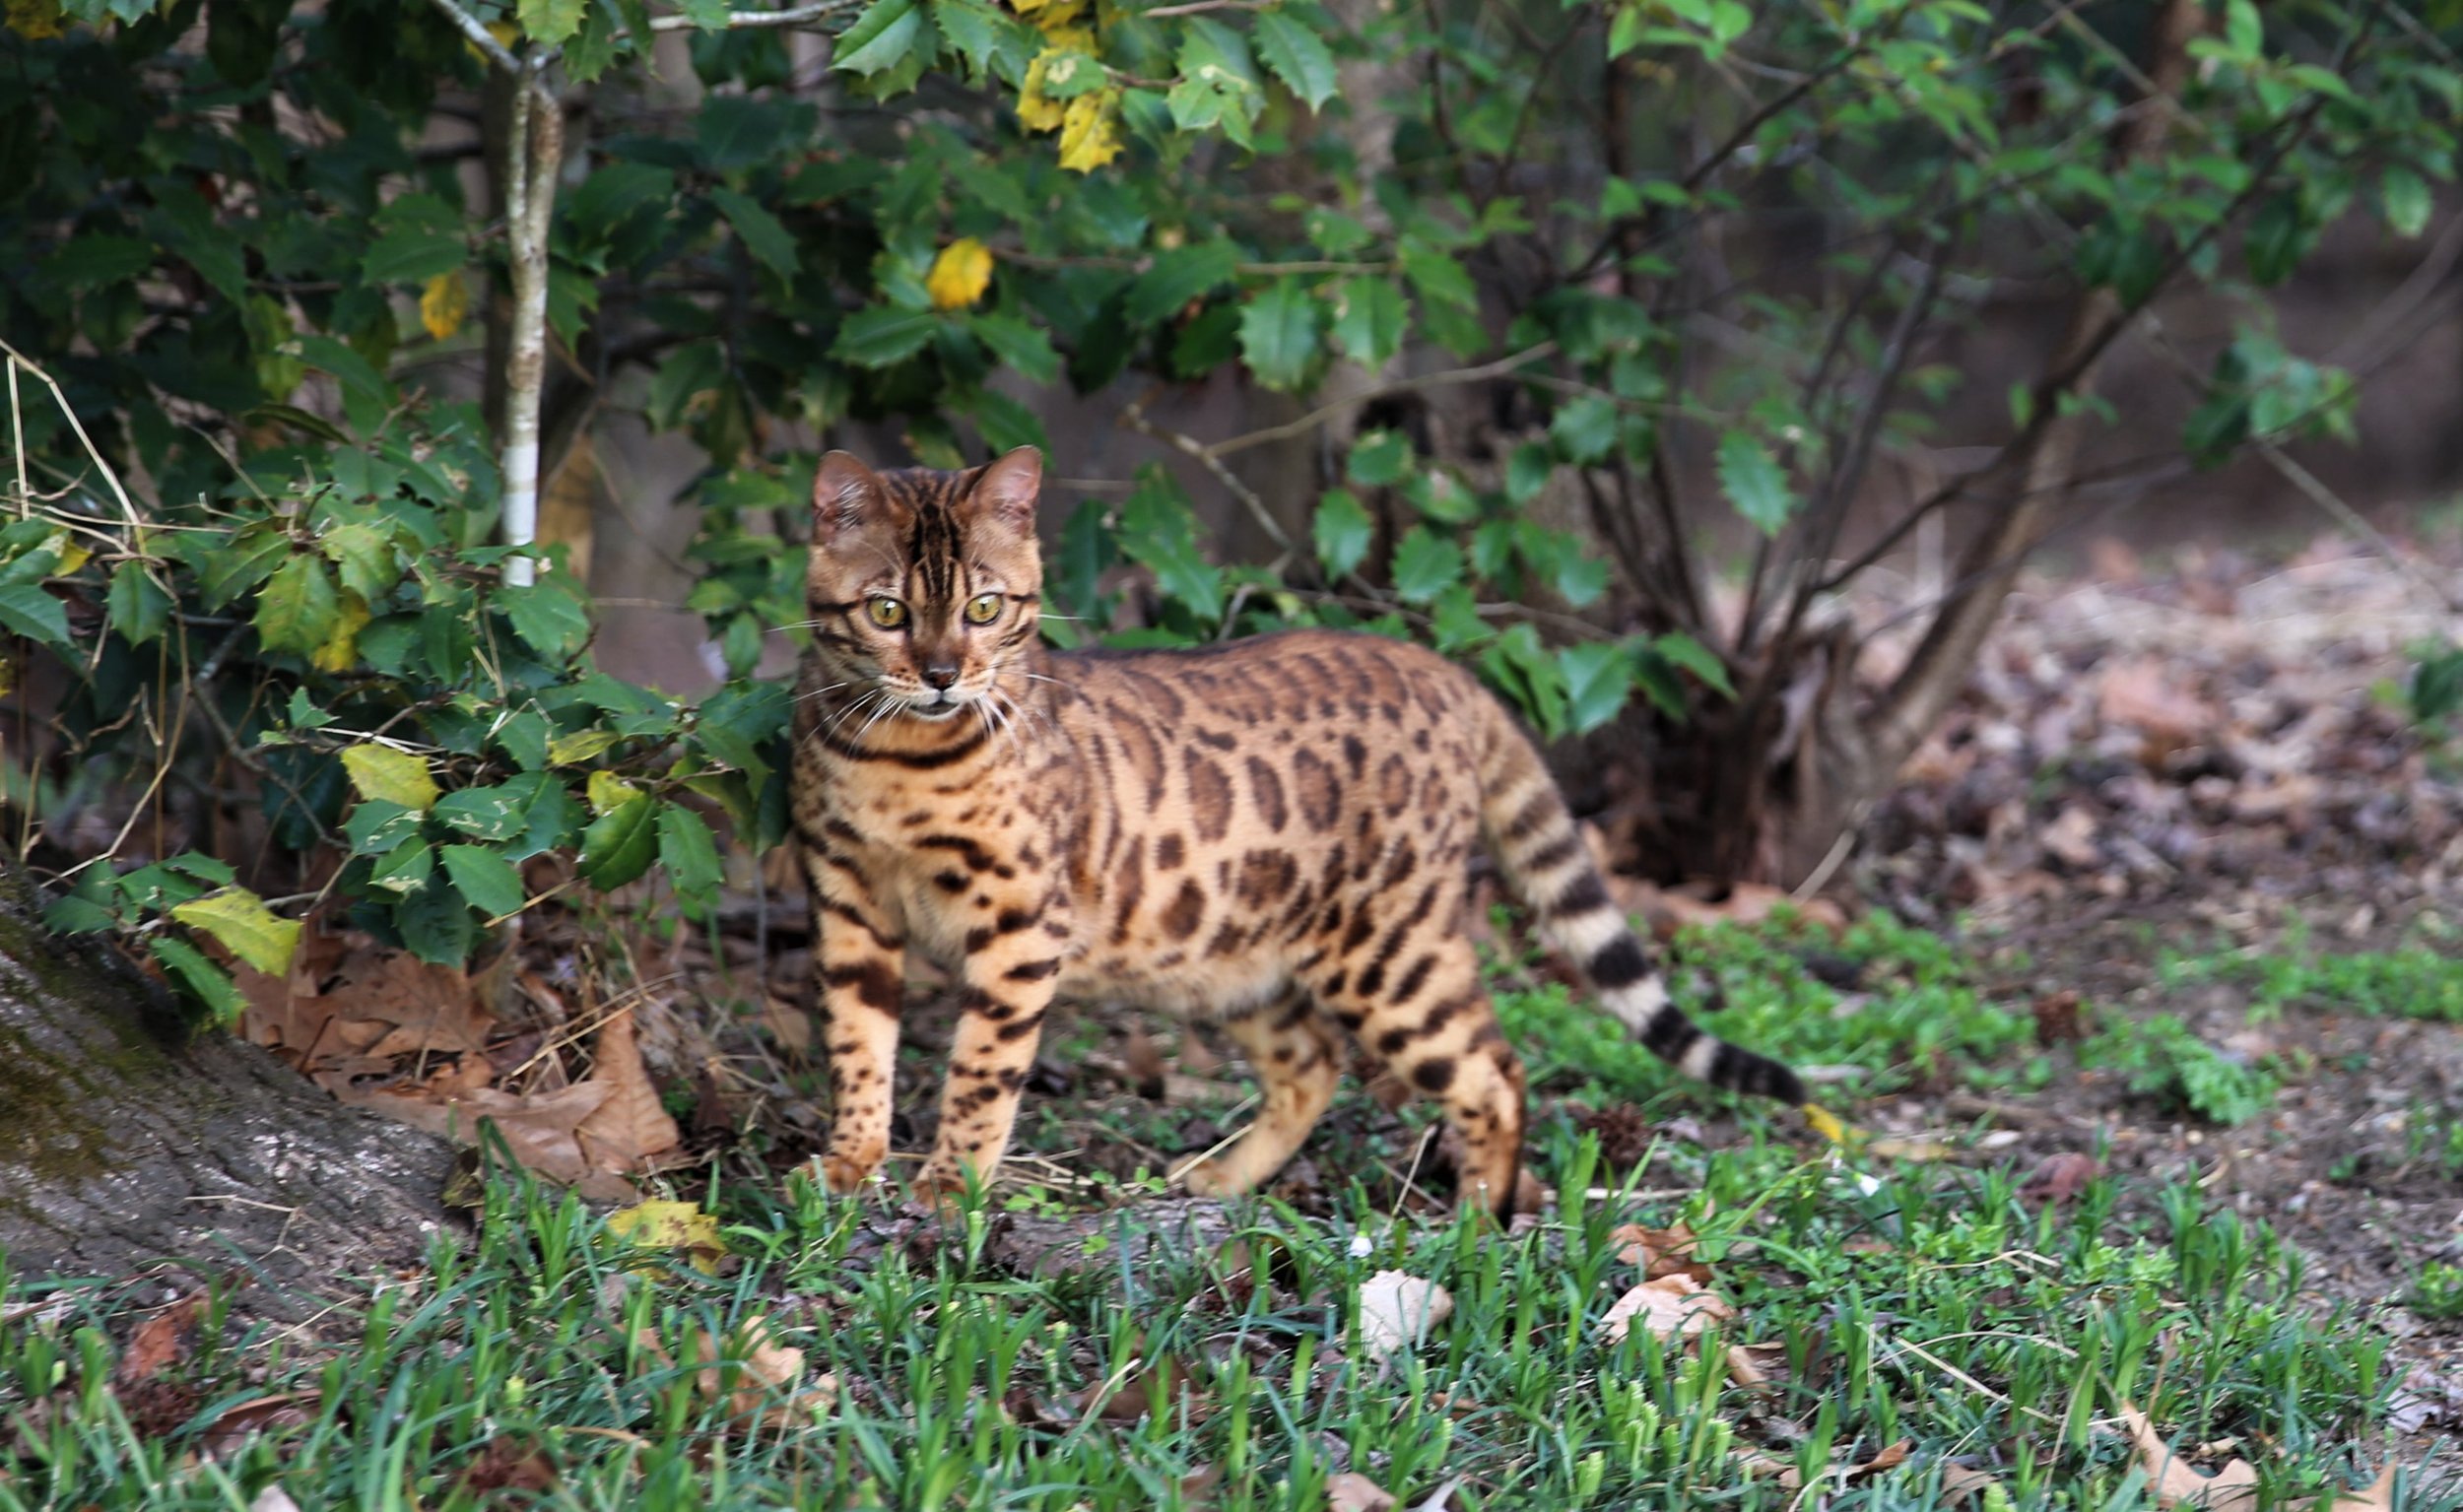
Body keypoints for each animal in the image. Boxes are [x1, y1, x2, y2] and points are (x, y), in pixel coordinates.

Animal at [798, 448, 1803, 1221]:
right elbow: (857, 1041)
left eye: (986, 607)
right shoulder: (847, 903)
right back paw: (1220, 1180)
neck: (895, 756)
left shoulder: (1016, 924)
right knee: (1314, 1063)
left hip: (1390, 949)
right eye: (887, 611)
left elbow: (982, 1068)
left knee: (1494, 1067)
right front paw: (851, 1160)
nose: (941, 675)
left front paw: (949, 1182)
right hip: (1234, 951)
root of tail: (1444, 669)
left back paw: (1478, 1220)